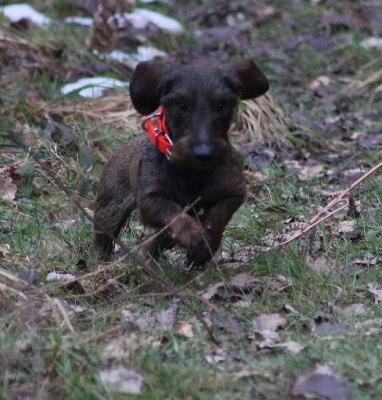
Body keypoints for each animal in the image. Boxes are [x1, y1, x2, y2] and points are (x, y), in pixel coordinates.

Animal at [92, 58, 268, 266]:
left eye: (222, 104)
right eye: (180, 105)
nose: (204, 153)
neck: (193, 173)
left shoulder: (234, 191)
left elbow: (217, 218)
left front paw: (205, 246)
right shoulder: (150, 199)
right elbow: (174, 213)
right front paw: (194, 236)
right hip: (110, 208)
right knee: (103, 238)